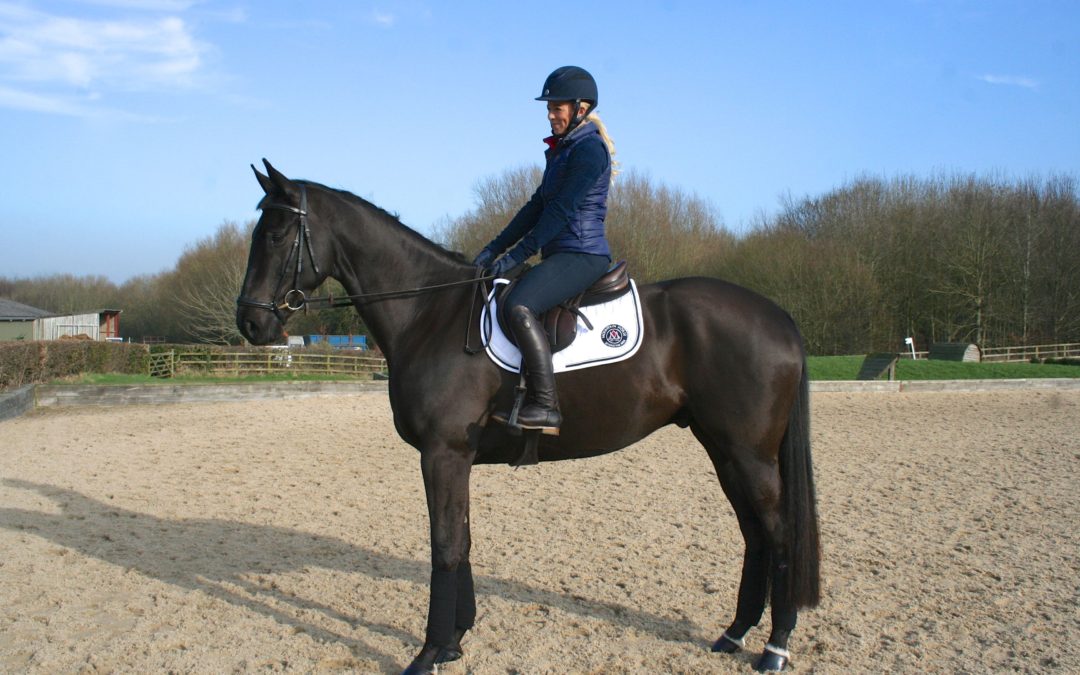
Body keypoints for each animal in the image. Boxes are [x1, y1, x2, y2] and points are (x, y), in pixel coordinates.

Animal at [236, 160, 821, 673]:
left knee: (778, 535)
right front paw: (455, 641)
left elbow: (445, 546)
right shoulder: (456, 459)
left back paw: (774, 649)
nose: (250, 322)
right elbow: (463, 541)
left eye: (276, 234)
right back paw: (735, 633)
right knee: (754, 534)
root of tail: (777, 316)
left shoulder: (443, 454)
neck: (429, 313)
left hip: (749, 453)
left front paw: (429, 654)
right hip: (724, 449)